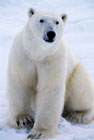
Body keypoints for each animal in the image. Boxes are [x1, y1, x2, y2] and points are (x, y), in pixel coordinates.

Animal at [6, 8, 94, 139]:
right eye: (41, 20)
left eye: (57, 22)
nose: (51, 33)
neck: (38, 53)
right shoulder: (23, 55)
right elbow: (21, 81)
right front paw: (23, 120)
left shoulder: (53, 58)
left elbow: (49, 88)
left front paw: (39, 133)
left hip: (75, 72)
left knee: (80, 87)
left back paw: (78, 115)